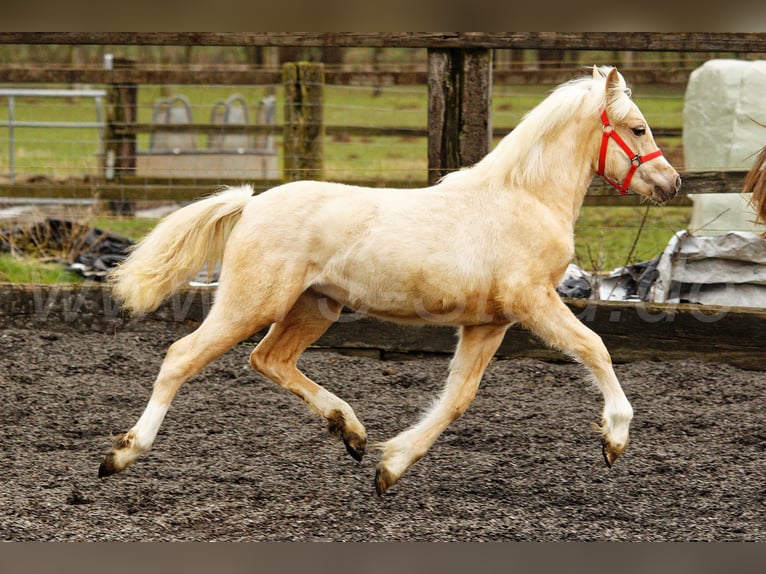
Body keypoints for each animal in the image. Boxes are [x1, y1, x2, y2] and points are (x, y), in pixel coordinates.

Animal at [99, 66, 680, 496]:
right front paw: (614, 439)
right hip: (251, 303)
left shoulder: (489, 323)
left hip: (314, 307)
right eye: (638, 128)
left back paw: (351, 431)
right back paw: (122, 454)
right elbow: (595, 347)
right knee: (182, 356)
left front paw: (390, 466)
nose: (672, 183)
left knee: (269, 360)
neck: (525, 198)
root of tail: (251, 203)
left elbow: (458, 397)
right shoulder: (532, 301)